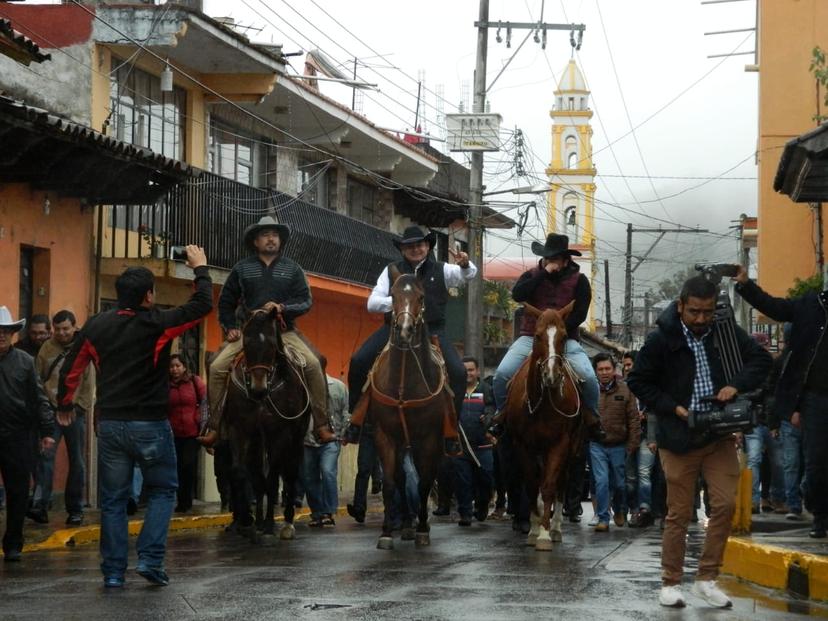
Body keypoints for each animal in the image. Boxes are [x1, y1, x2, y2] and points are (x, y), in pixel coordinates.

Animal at [222, 308, 312, 540]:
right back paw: (258, 521)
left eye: (272, 344)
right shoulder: (239, 429)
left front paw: (271, 523)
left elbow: (273, 478)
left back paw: (286, 522)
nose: (258, 389)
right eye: (245, 342)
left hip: (295, 438)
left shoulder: (279, 433)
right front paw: (246, 520)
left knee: (289, 474)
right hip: (258, 441)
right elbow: (240, 472)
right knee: (258, 477)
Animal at [368, 266, 452, 548]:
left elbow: (425, 483)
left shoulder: (429, 438)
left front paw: (423, 529)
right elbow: (391, 483)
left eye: (421, 297)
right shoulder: (385, 435)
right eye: (393, 296)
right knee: (402, 479)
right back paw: (404, 524)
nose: (405, 330)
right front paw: (385, 532)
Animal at [502, 300, 584, 548]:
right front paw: (534, 528)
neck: (543, 403)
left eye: (564, 336)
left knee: (561, 482)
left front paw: (546, 533)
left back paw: (556, 527)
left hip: (571, 447)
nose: (551, 375)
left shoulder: (560, 444)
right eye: (537, 336)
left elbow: (548, 486)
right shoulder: (522, 445)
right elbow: (531, 484)